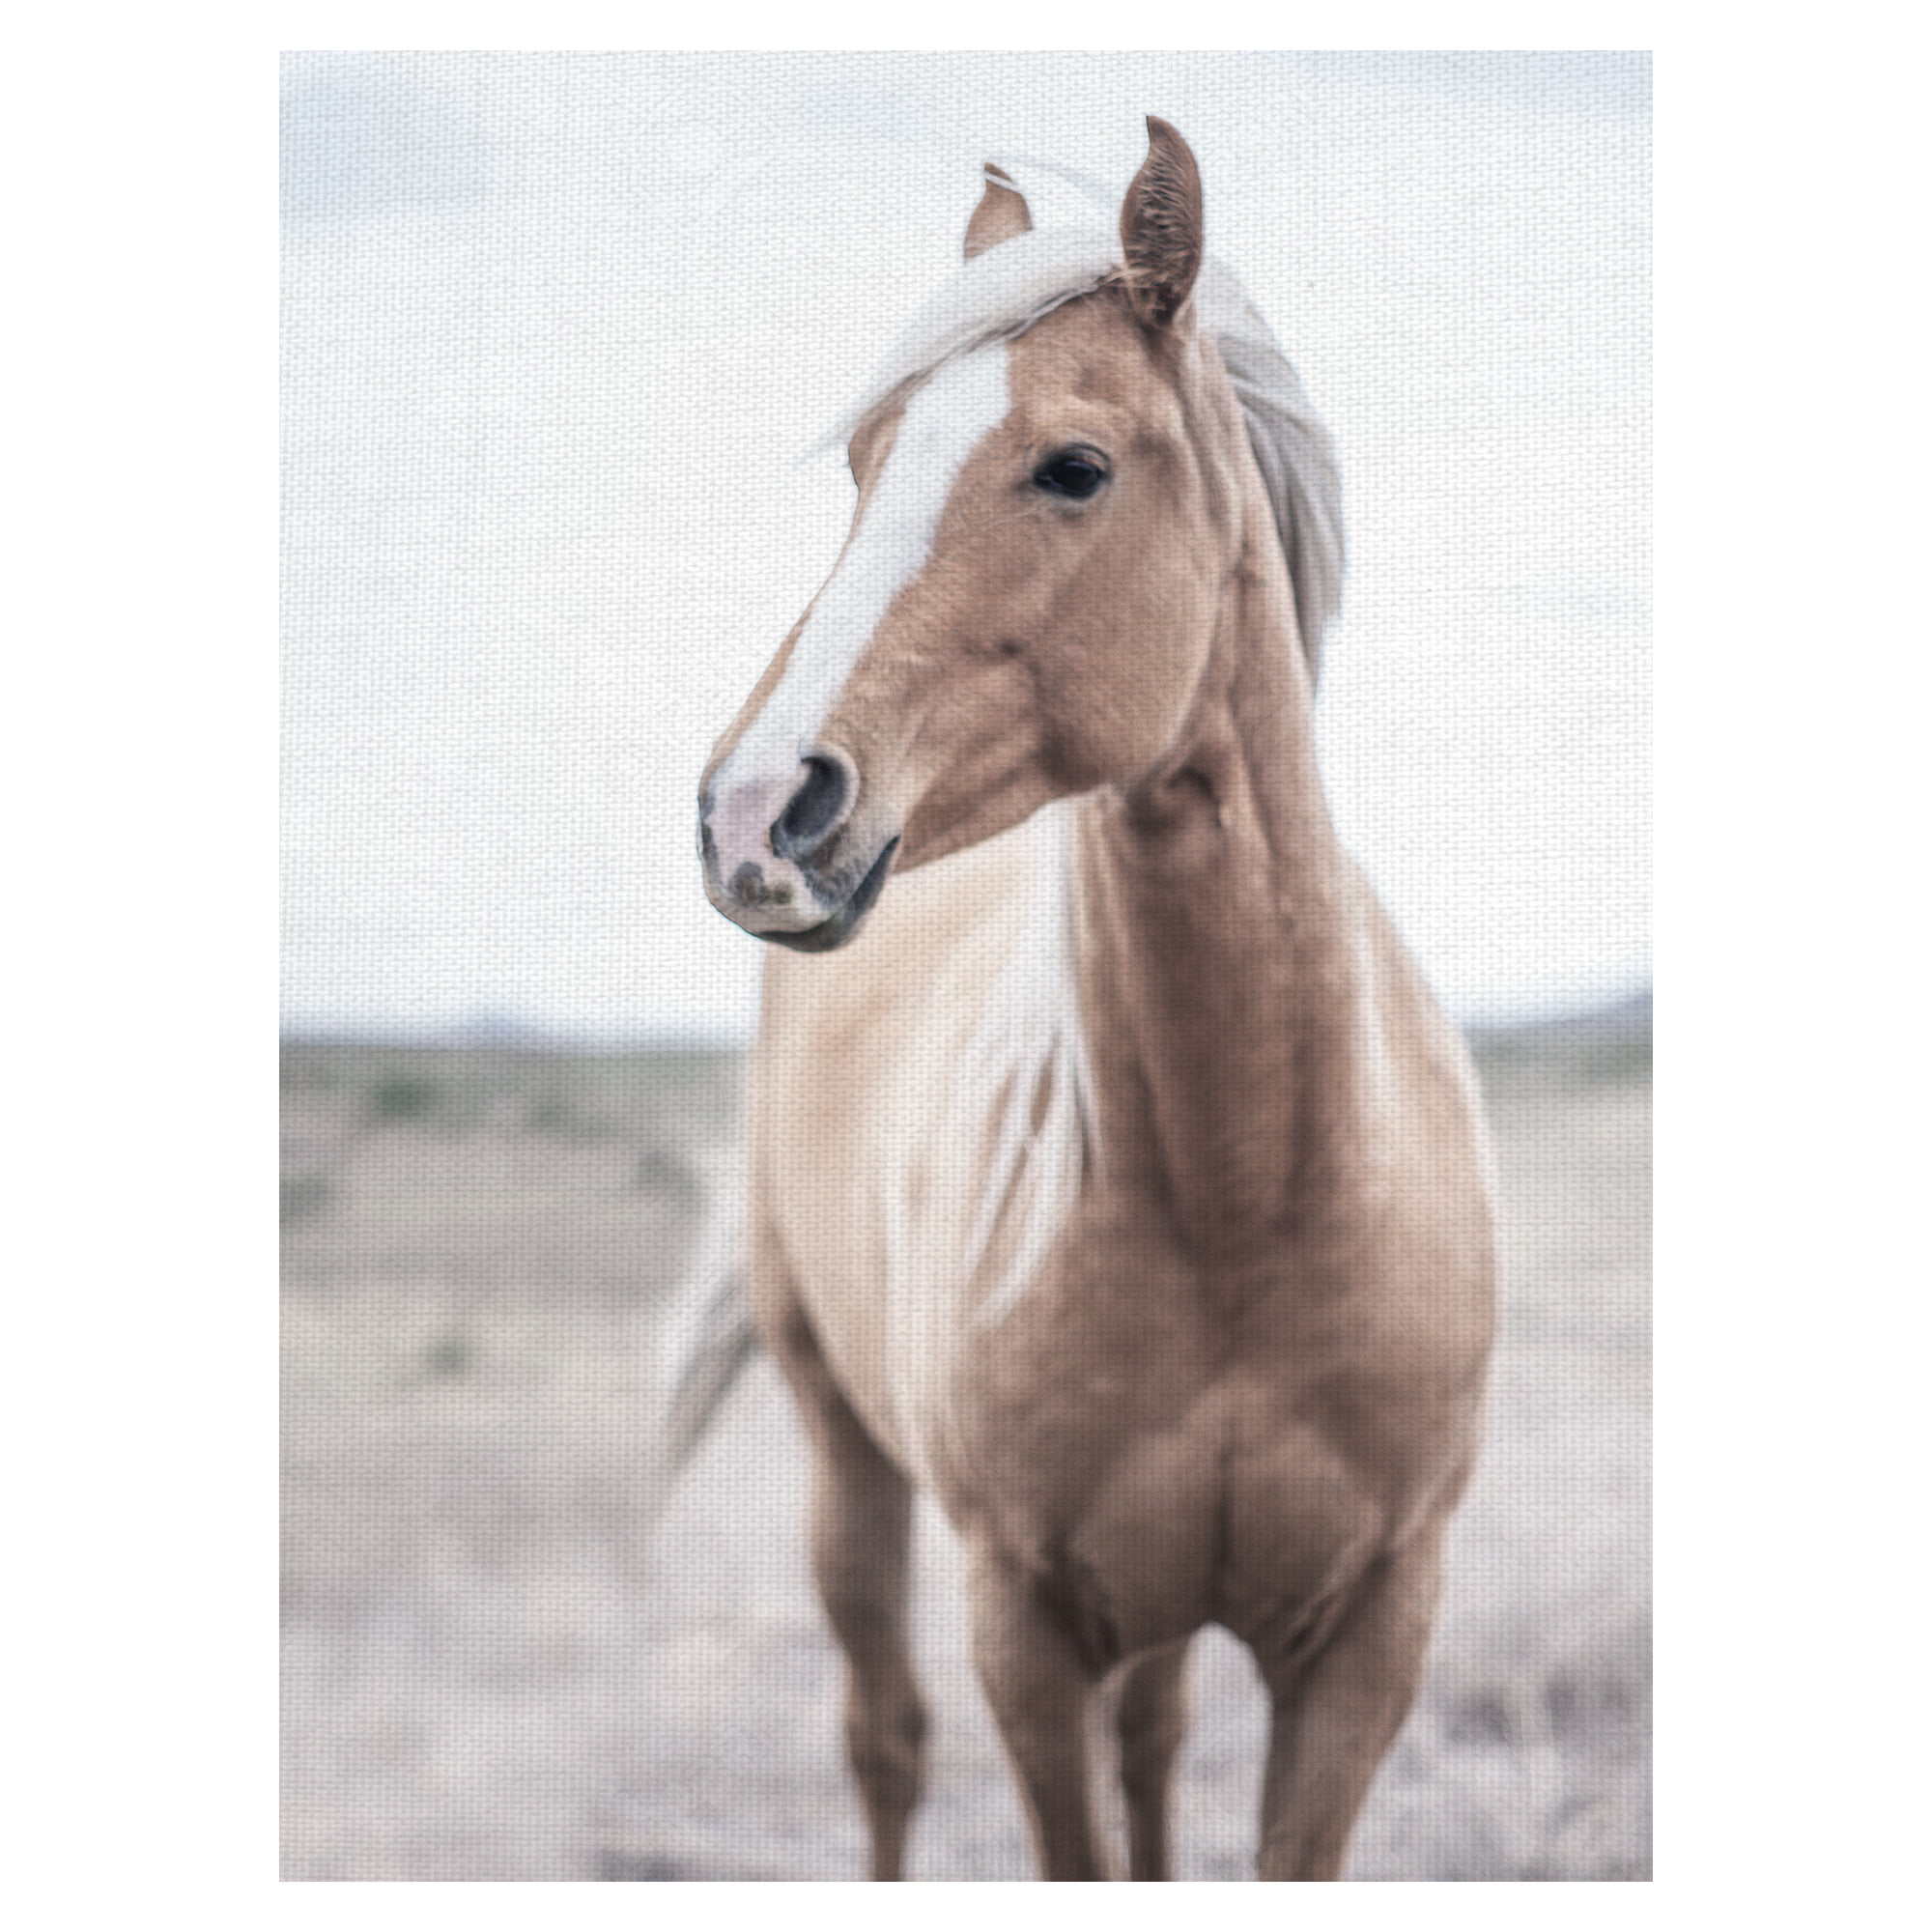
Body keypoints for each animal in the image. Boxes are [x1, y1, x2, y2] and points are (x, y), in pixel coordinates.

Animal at [685, 119, 1497, 1882]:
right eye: (866, 466)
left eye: (1073, 467)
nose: (754, 813)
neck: (1253, 1199)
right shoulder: (1026, 1627)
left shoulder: (1371, 1638)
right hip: (846, 1460)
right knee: (886, 1742)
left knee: (1154, 1741)